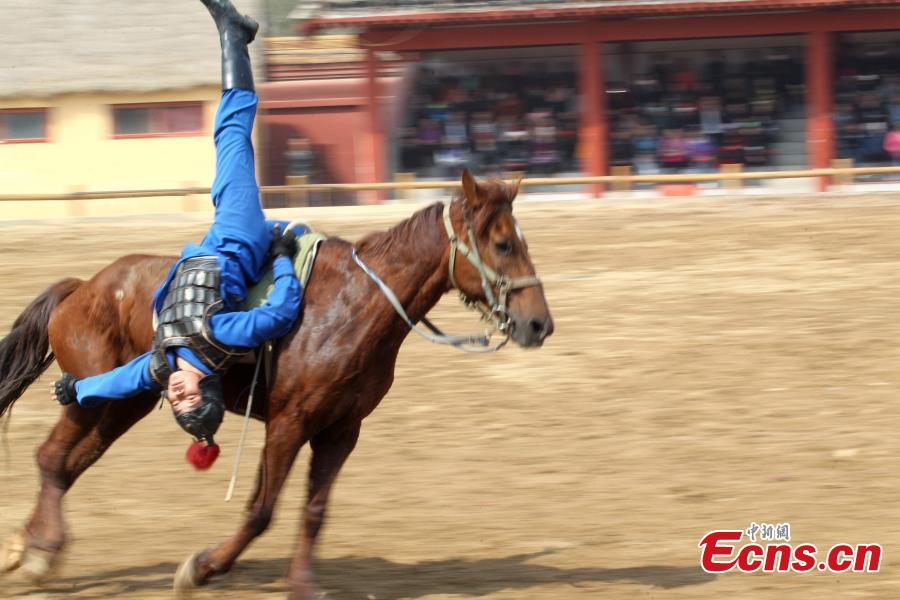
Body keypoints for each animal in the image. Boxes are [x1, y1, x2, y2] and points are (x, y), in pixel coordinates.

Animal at [0, 170, 548, 600]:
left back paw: (25, 547)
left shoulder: (341, 429)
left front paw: (302, 584)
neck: (357, 302)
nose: (539, 324)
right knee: (52, 457)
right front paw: (202, 568)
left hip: (123, 403)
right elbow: (262, 509)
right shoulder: (289, 422)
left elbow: (314, 510)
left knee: (68, 464)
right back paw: (40, 553)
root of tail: (82, 288)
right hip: (95, 399)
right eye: (503, 243)